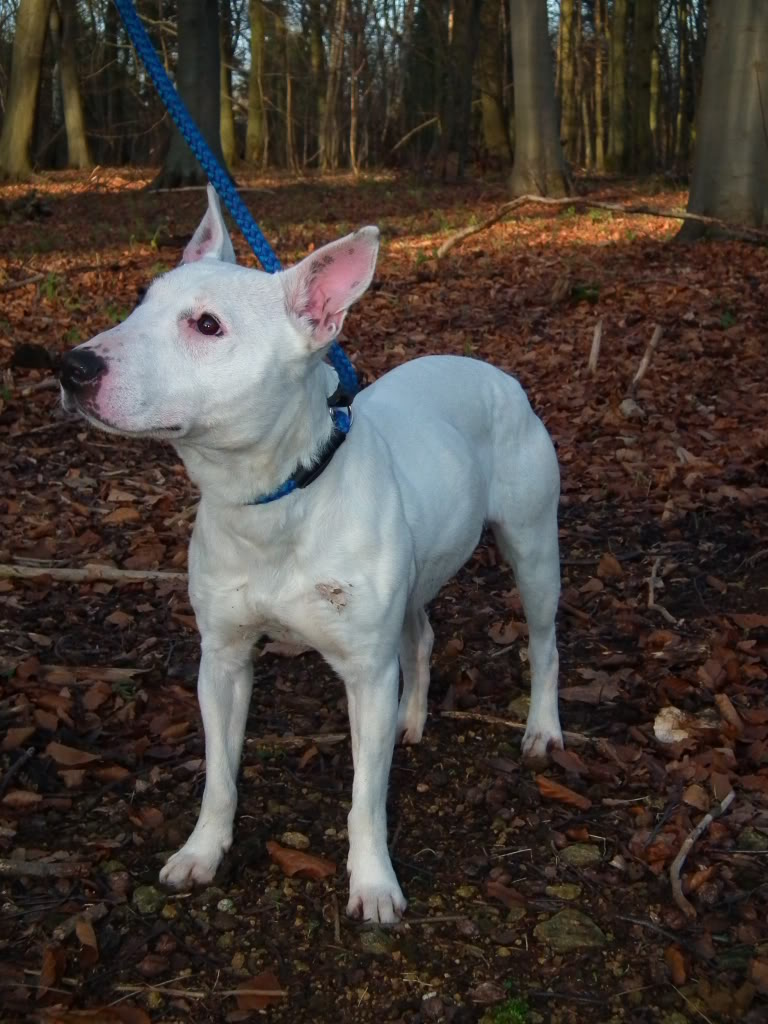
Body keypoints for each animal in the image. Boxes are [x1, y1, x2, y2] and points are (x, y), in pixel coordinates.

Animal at [58, 186, 565, 929]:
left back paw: (542, 729)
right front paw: (202, 851)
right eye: (140, 300)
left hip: (532, 546)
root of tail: (493, 370)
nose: (72, 366)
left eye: (206, 325)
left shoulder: (365, 676)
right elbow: (220, 773)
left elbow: (365, 796)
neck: (276, 501)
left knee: (544, 640)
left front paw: (374, 882)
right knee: (420, 634)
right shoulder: (223, 659)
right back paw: (414, 717)